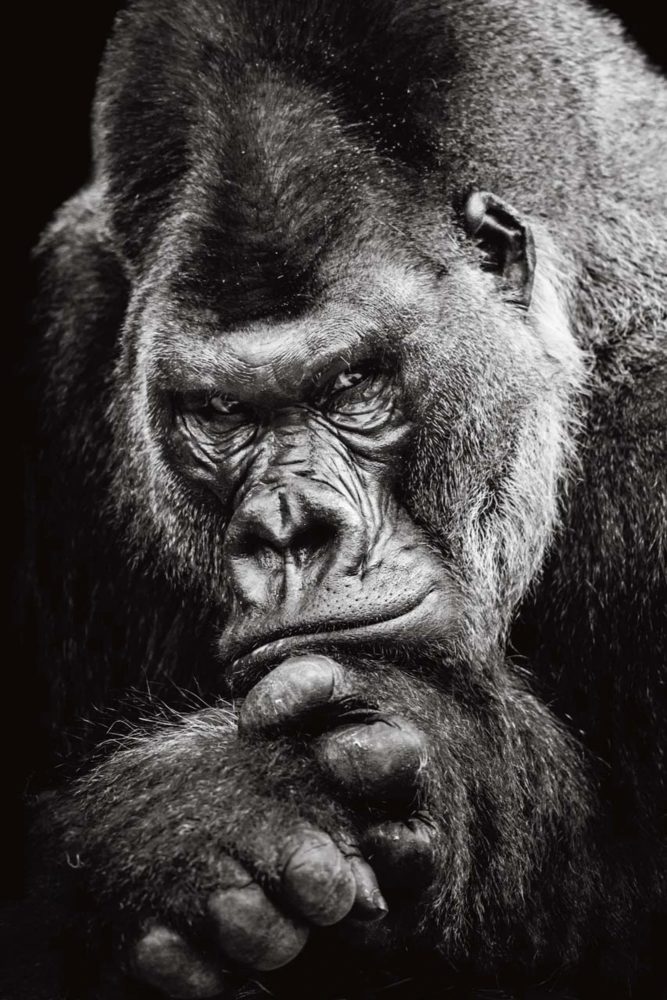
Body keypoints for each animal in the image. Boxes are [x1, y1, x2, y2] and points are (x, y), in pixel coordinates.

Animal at [14, 0, 666, 998]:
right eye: (219, 412)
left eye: (353, 384)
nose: (288, 529)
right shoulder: (69, 324)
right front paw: (189, 825)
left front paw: (453, 762)